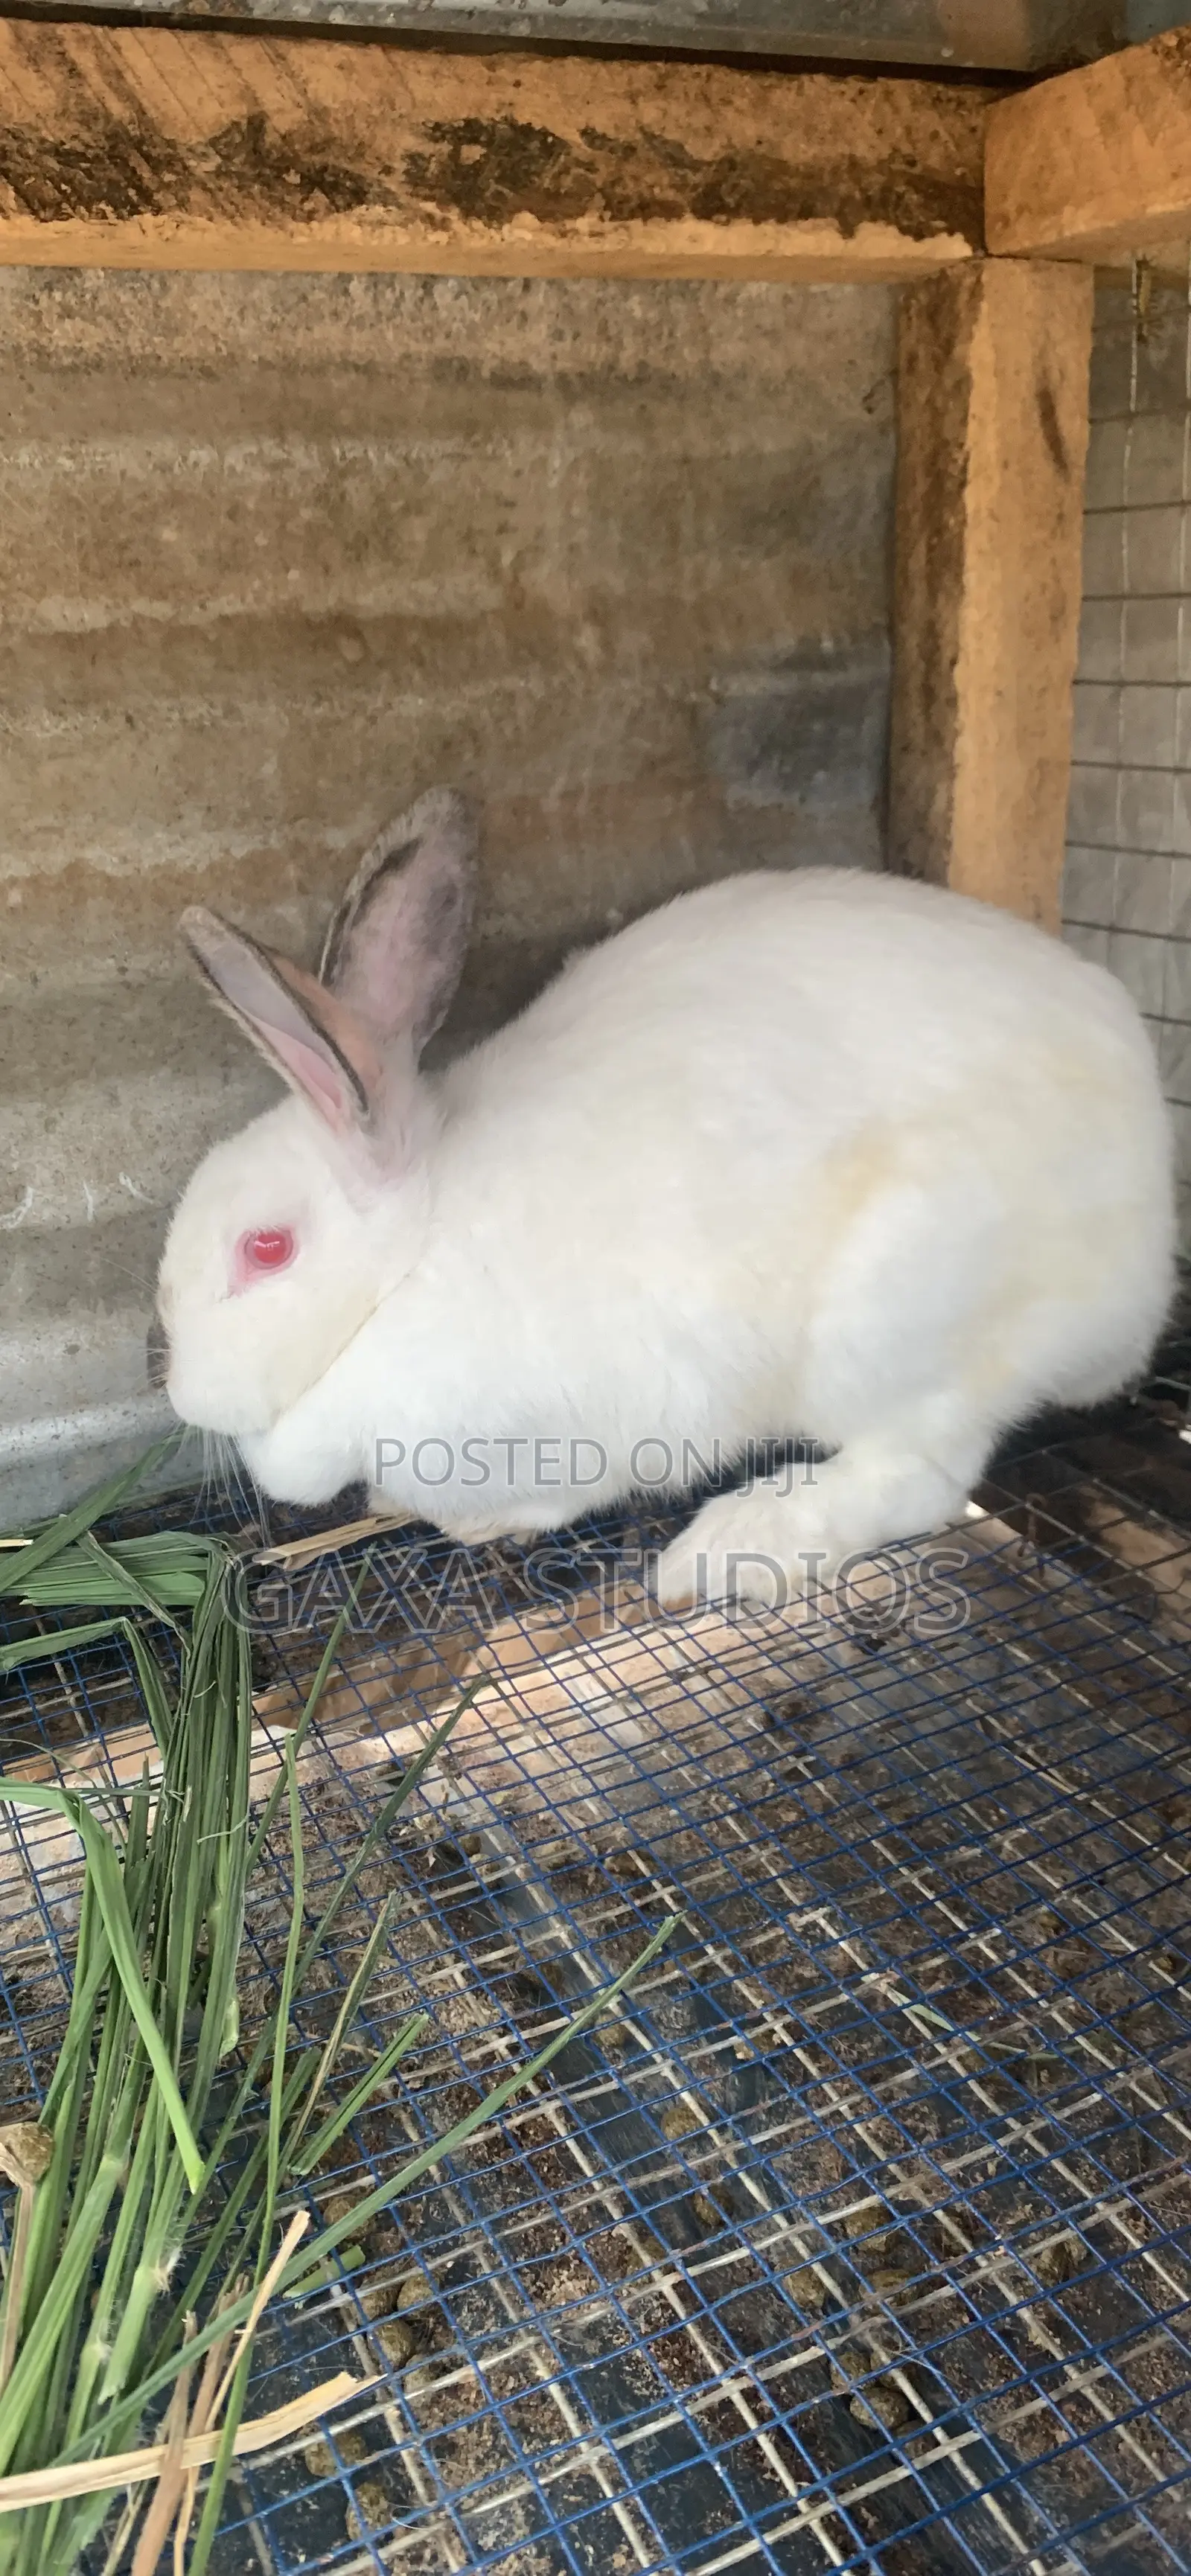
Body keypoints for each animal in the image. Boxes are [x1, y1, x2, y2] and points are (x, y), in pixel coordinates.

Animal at [155, 789, 1175, 1611]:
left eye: (266, 1248)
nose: (184, 1395)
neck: (411, 1260)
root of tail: (1149, 1268)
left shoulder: (562, 1429)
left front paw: (477, 1522)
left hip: (896, 1325)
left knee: (918, 1471)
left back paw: (731, 1548)